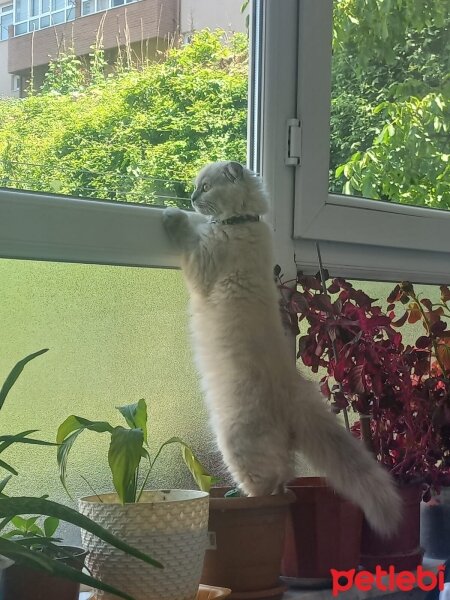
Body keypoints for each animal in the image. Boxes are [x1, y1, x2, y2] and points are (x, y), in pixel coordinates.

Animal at [163, 159, 402, 536]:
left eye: (205, 187)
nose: (190, 197)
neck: (243, 224)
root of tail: (294, 389)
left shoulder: (203, 268)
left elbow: (188, 236)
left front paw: (174, 217)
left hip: (235, 441)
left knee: (265, 483)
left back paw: (240, 499)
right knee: (282, 478)